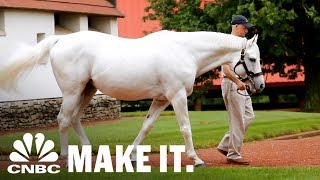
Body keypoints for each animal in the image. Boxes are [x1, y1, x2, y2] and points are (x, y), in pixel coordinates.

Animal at [0, 30, 264, 167]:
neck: (186, 51)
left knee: (74, 118)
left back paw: (88, 154)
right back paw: (66, 159)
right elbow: (186, 128)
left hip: (88, 90)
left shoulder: (161, 99)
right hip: (73, 92)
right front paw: (196, 159)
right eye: (252, 59)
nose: (260, 85)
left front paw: (132, 157)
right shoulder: (177, 96)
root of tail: (61, 39)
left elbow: (146, 127)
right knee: (64, 119)